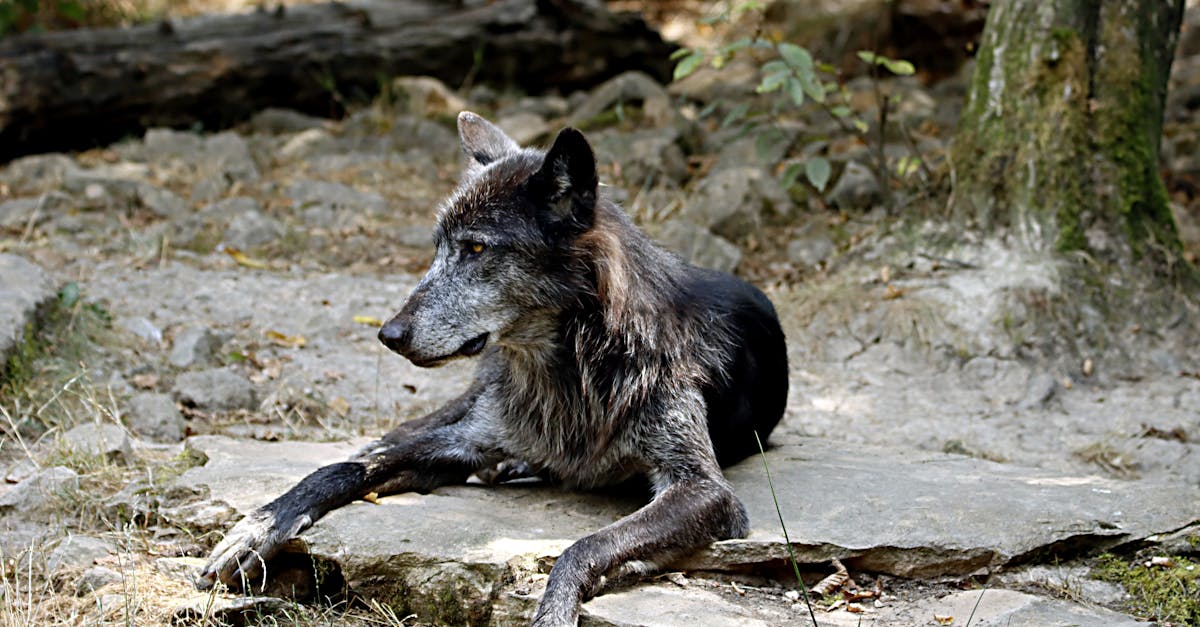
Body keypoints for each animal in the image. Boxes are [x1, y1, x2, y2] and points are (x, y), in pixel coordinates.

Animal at [199, 112, 789, 626]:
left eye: (478, 248)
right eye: (437, 247)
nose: (389, 334)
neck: (570, 374)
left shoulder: (705, 490)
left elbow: (584, 547)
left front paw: (557, 611)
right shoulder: (469, 441)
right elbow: (341, 470)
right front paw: (258, 527)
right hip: (473, 402)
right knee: (399, 434)